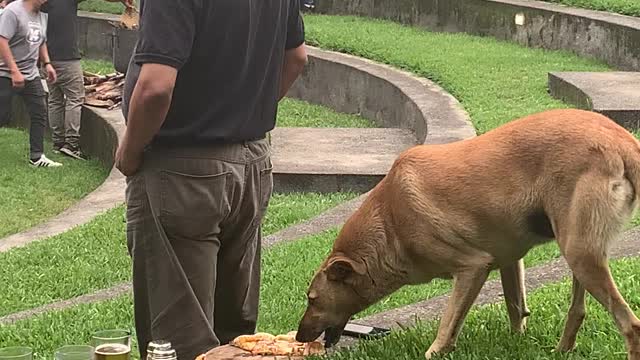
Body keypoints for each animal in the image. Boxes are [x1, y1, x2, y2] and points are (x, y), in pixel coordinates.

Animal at [298, 109, 640, 360]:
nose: (299, 335)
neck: (389, 221)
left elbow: (448, 325)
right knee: (578, 310)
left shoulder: (472, 266)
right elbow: (515, 308)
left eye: (312, 299)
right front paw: (517, 343)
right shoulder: (508, 259)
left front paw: (438, 350)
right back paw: (561, 350)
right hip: (577, 246)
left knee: (630, 325)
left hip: (580, 253)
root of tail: (623, 142)